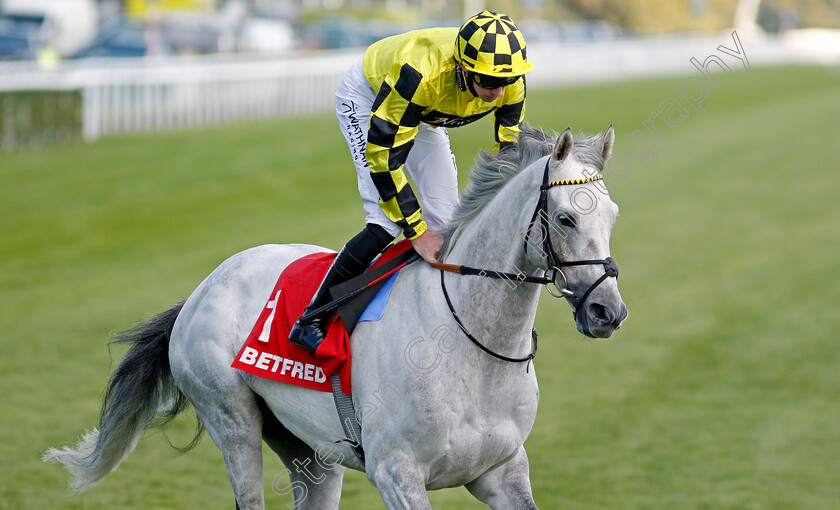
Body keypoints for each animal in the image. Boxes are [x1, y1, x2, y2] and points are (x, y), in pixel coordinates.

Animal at [44, 125, 624, 508]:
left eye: (614, 215)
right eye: (567, 219)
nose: (608, 311)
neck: (470, 345)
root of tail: (198, 292)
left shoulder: (502, 472)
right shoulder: (397, 474)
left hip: (310, 452)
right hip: (232, 421)